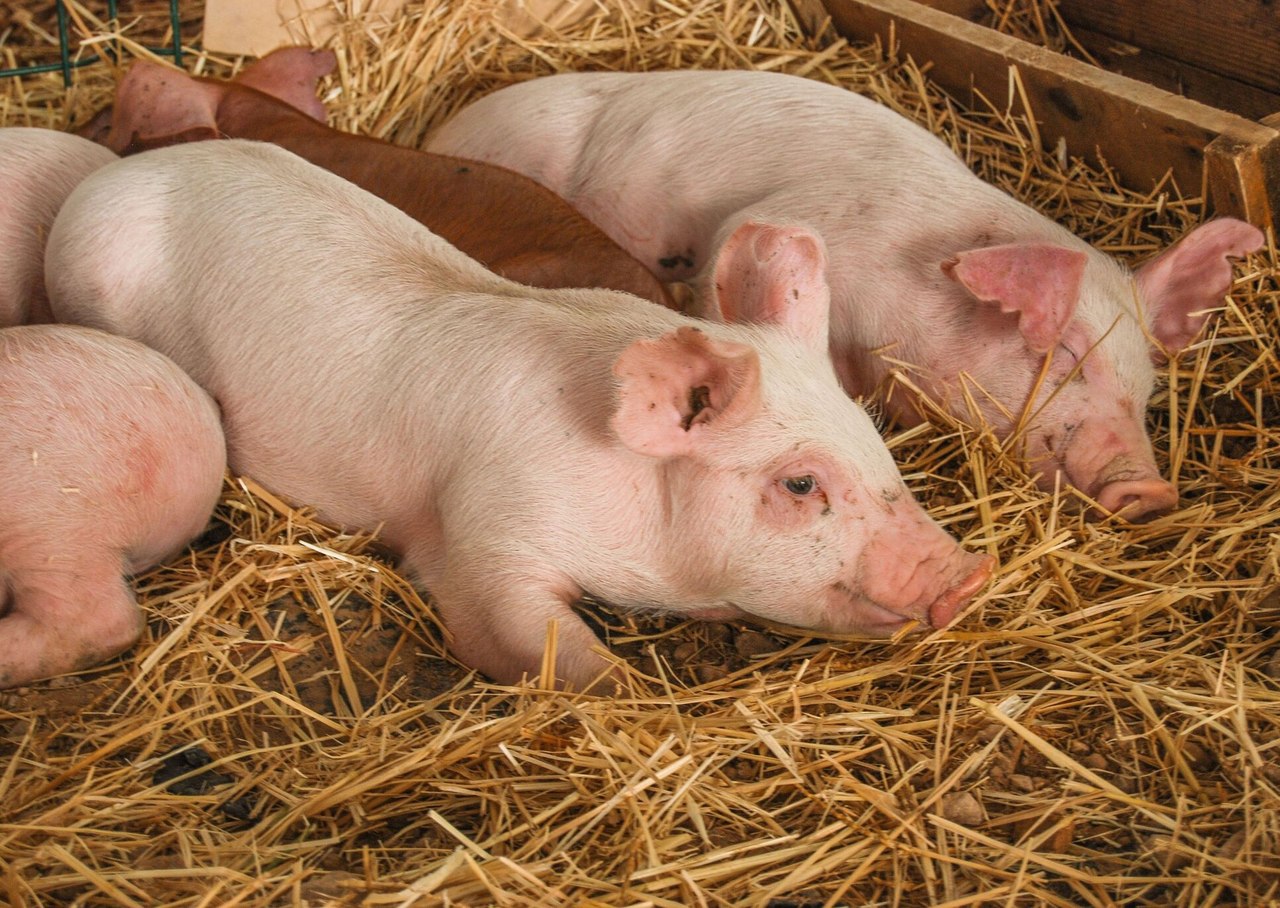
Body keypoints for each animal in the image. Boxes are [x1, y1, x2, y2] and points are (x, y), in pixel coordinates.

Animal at [47, 141, 988, 691]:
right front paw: (626, 696)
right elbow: (538, 644)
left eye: (874, 438)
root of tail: (101, 177)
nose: (967, 574)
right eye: (799, 484)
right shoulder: (480, 534)